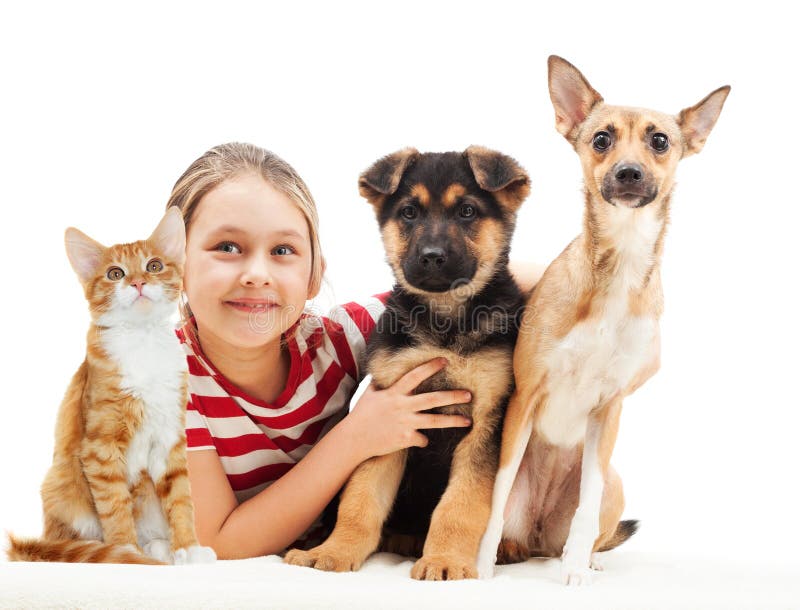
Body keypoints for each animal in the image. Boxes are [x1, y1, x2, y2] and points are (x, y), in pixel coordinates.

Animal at [7, 209, 214, 564]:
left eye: (154, 266)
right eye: (115, 273)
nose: (138, 282)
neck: (143, 342)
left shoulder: (169, 438)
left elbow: (181, 500)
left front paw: (188, 547)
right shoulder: (100, 446)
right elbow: (115, 505)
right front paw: (125, 550)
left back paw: (160, 548)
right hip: (59, 483)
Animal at [286, 147, 532, 580]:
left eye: (467, 211)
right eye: (409, 213)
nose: (432, 258)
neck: (444, 323)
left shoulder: (486, 420)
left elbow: (461, 503)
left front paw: (446, 559)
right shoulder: (390, 416)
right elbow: (361, 498)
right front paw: (336, 550)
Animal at [476, 58, 732, 584]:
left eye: (660, 141)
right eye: (600, 139)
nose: (628, 172)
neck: (620, 264)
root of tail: (536, 536)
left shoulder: (610, 408)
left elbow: (587, 504)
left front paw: (575, 568)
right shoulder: (525, 398)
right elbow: (495, 497)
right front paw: (480, 564)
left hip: (617, 480)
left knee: (590, 521)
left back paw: (583, 556)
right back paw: (509, 550)